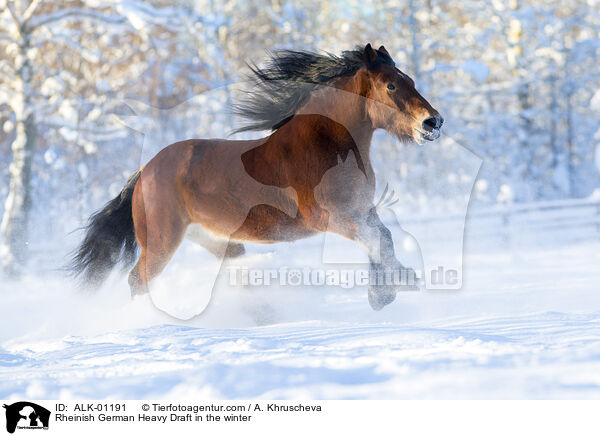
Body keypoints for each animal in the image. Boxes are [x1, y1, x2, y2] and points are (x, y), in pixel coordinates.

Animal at [71, 44, 446, 310]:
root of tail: (144, 172)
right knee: (138, 280)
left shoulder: (362, 209)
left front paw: (391, 288)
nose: (433, 122)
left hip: (219, 241)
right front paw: (391, 288)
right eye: (391, 85)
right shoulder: (330, 217)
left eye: (411, 81)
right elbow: (376, 239)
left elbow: (383, 238)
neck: (325, 145)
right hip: (163, 242)